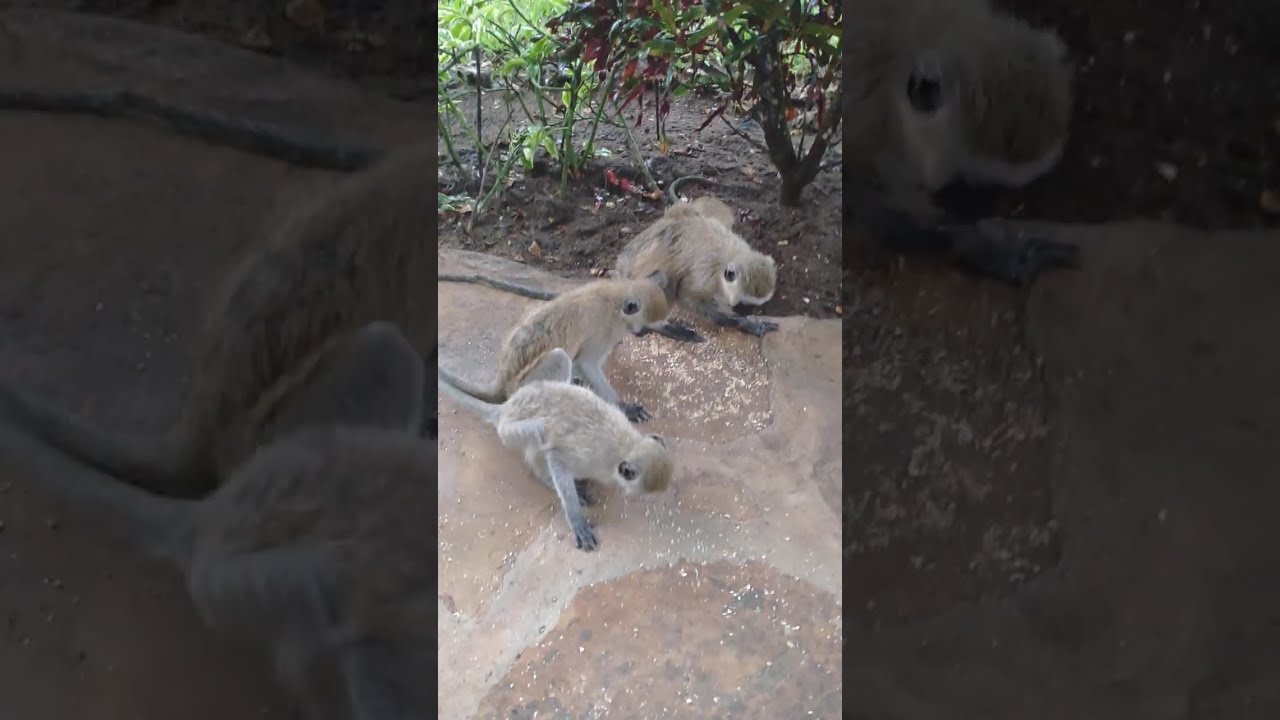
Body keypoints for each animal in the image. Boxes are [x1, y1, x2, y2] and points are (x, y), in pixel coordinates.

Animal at [0, 327, 434, 719]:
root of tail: (222, 504)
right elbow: (374, 662)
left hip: (304, 440)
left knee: (388, 348)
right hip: (226, 585)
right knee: (318, 593)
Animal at [437, 271, 682, 424]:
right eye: (645, 326)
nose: (643, 333)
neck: (616, 300)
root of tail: (503, 382)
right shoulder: (603, 329)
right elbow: (587, 362)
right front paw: (624, 407)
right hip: (528, 384)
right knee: (560, 358)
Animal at [437, 347, 674, 552]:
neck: (627, 446)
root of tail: (506, 408)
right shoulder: (590, 458)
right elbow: (556, 458)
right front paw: (576, 519)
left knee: (561, 361)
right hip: (510, 432)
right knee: (541, 433)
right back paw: (545, 476)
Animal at [439, 194, 779, 339]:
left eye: (755, 304)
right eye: (745, 304)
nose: (742, 311)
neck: (729, 254)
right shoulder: (705, 275)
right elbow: (688, 295)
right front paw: (739, 324)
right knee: (662, 281)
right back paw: (655, 328)